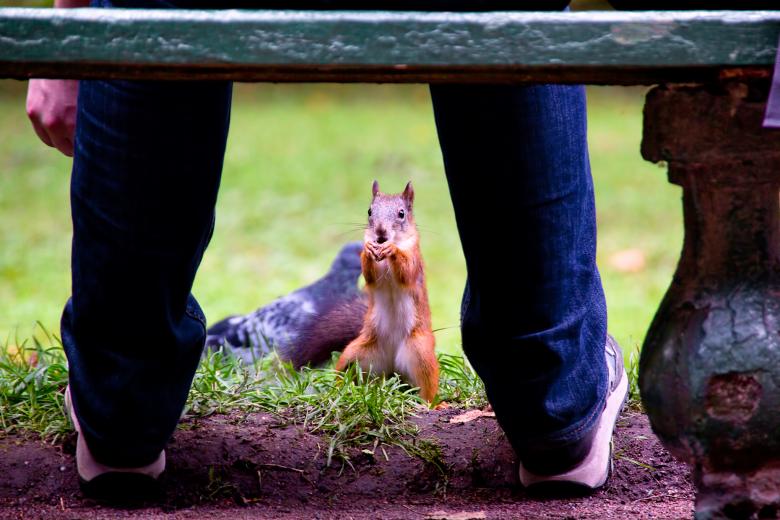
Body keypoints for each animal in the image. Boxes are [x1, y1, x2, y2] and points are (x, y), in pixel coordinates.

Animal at [293, 180, 439, 402]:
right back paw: (338, 392)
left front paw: (393, 251)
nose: (380, 232)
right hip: (356, 352)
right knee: (344, 373)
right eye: (369, 211)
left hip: (420, 352)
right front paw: (369, 251)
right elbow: (370, 274)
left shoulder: (414, 258)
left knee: (427, 387)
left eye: (402, 213)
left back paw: (433, 404)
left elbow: (406, 272)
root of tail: (392, 368)